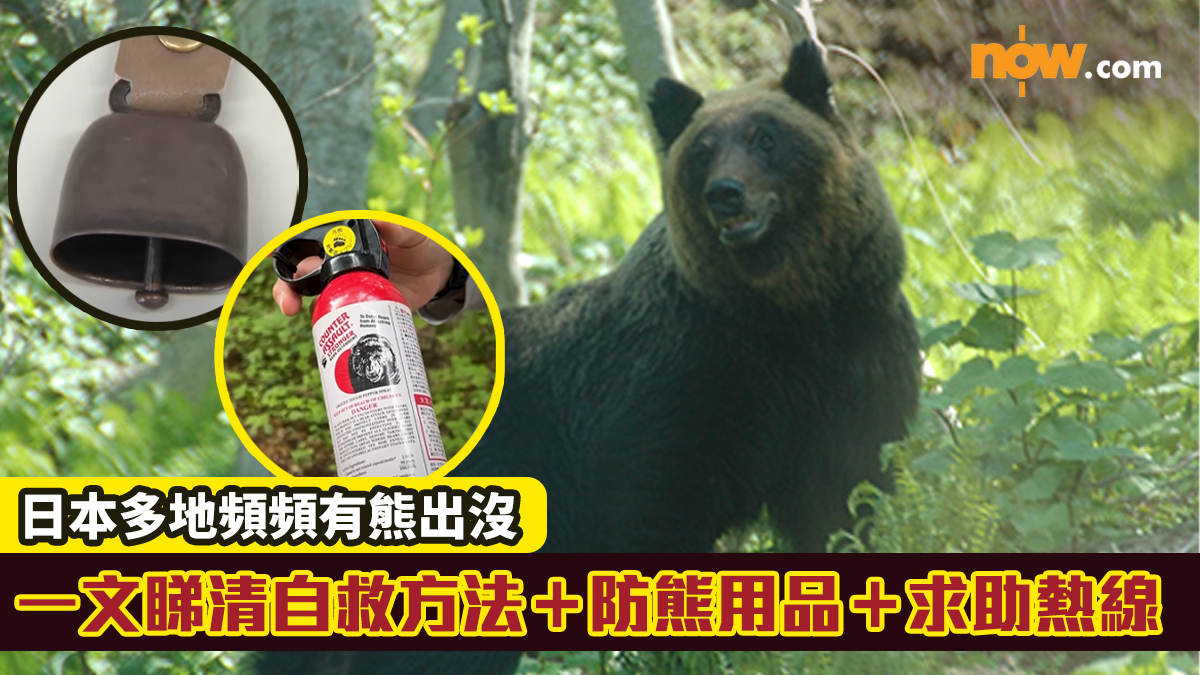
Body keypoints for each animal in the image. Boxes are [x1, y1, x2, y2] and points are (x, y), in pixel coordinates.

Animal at [253, 40, 919, 675]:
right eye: (704, 150)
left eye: (767, 137)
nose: (726, 194)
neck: (785, 317)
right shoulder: (676, 392)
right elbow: (655, 519)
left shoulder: (854, 372)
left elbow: (847, 502)